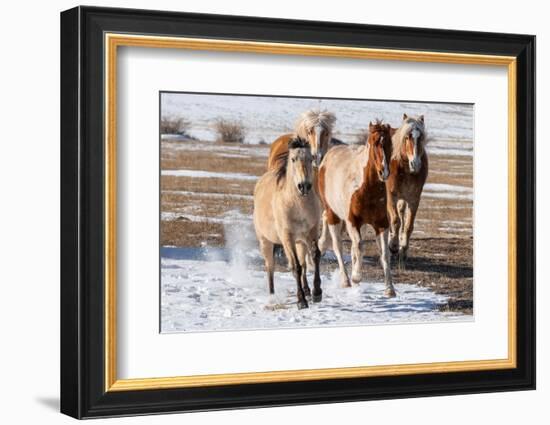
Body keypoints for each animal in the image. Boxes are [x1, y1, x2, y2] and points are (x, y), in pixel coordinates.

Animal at [320, 121, 396, 296]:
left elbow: (384, 254)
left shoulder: (381, 224)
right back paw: (346, 280)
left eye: (390, 143)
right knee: (338, 246)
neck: (365, 188)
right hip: (333, 215)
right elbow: (360, 246)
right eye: (374, 143)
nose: (384, 172)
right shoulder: (353, 222)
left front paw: (390, 289)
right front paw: (356, 277)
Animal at [386, 114, 430, 264]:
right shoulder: (391, 196)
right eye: (407, 137)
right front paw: (393, 246)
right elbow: (395, 221)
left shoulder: (414, 199)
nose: (415, 164)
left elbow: (408, 225)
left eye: (420, 137)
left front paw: (403, 249)